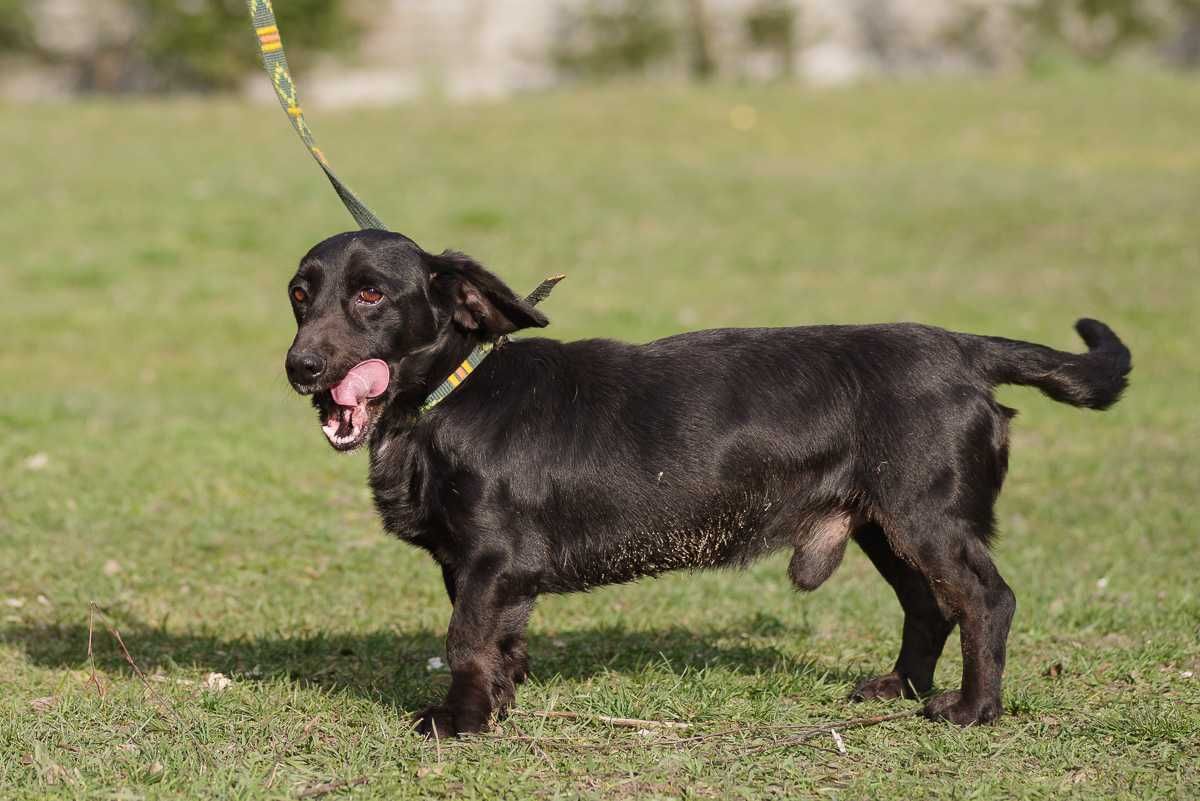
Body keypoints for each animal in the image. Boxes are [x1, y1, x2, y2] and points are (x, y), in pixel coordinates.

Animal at [285, 227, 1128, 733]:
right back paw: (901, 687)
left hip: (926, 517)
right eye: (301, 292)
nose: (301, 367)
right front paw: (499, 699)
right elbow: (500, 642)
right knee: (928, 606)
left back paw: (974, 707)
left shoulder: (491, 560)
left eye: (371, 294)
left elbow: (465, 639)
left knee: (986, 599)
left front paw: (459, 720)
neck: (450, 395)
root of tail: (961, 348)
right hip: (883, 524)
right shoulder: (475, 569)